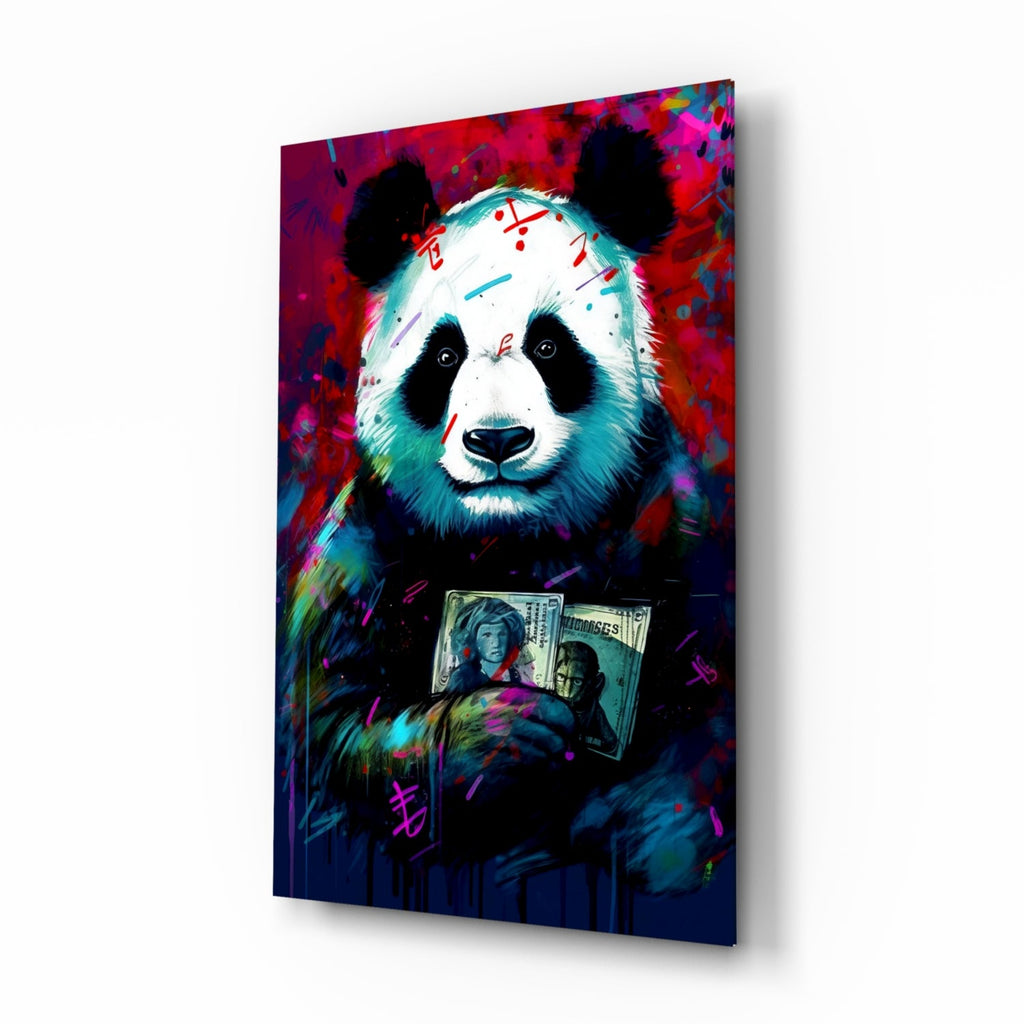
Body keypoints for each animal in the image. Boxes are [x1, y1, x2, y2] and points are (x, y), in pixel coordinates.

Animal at [281, 124, 734, 898]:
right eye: (443, 355)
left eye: (550, 346)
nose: (497, 440)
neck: (510, 536)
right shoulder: (373, 538)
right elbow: (330, 721)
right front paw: (494, 735)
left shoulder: (664, 514)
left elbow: (700, 728)